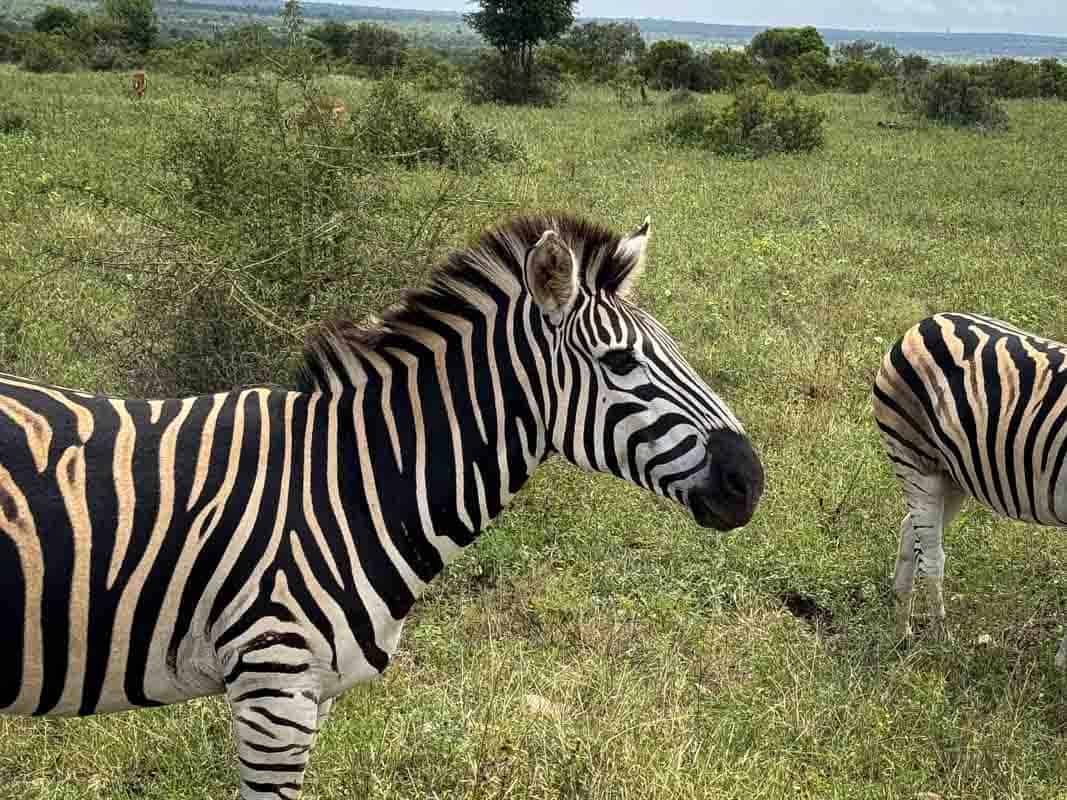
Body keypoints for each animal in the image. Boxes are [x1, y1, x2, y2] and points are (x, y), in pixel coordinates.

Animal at [870, 313, 1067, 665]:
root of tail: (924, 324)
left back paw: (902, 630)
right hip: (915, 462)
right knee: (932, 557)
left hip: (952, 477)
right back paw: (941, 641)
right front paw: (1062, 662)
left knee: (909, 532)